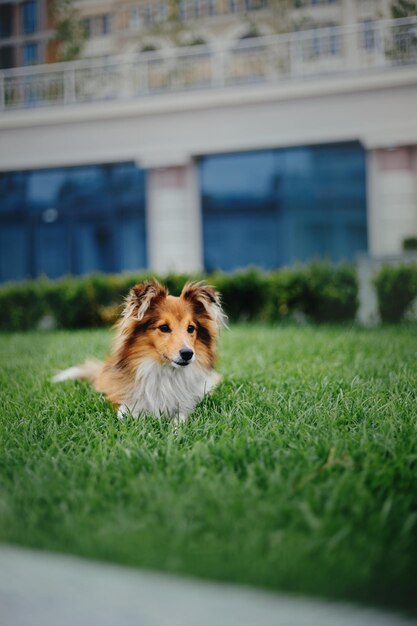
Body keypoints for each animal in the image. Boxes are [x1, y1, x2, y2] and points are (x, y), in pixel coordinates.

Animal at [54, 280, 228, 422]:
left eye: (191, 328)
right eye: (164, 327)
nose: (188, 354)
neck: (165, 371)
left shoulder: (190, 401)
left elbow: (182, 415)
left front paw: (176, 429)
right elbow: (124, 413)